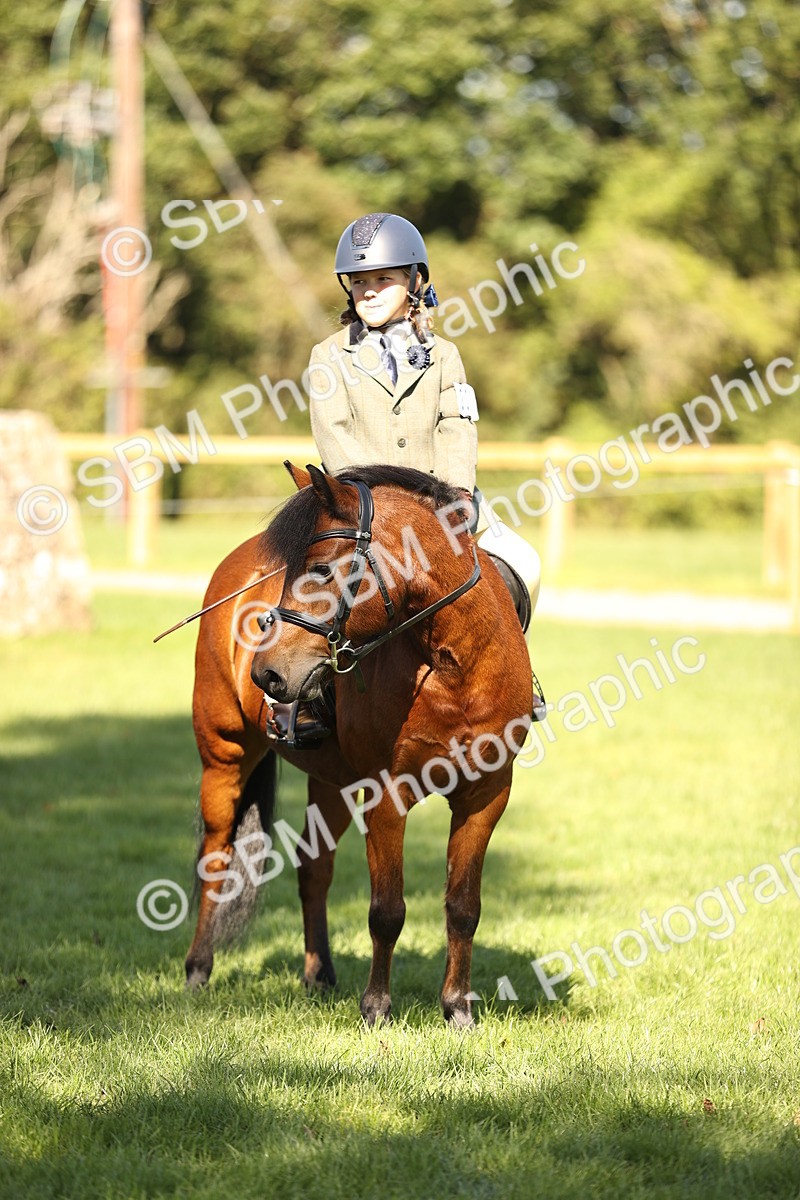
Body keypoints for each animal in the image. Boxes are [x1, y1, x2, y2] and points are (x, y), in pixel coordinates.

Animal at [184, 462, 534, 1027]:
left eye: (323, 570)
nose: (266, 673)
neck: (453, 668)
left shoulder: (486, 796)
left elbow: (463, 907)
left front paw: (458, 1008)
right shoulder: (389, 795)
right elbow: (387, 910)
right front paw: (376, 1008)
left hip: (333, 783)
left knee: (313, 870)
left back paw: (318, 974)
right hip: (224, 756)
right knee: (217, 858)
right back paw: (198, 969)